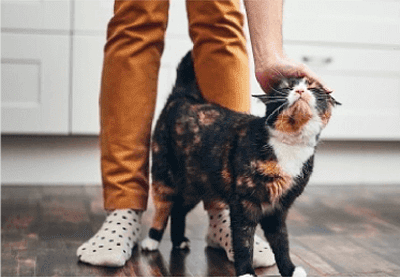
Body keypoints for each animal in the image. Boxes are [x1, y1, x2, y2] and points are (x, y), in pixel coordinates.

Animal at [142, 50, 340, 276]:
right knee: (163, 207)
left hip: (196, 184)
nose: (299, 90)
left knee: (178, 209)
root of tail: (183, 96)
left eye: (314, 88)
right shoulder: (244, 204)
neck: (289, 145)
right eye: (285, 88)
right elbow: (244, 242)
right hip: (164, 174)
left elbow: (282, 241)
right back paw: (152, 239)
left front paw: (289, 269)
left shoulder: (279, 209)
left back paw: (179, 241)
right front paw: (246, 271)